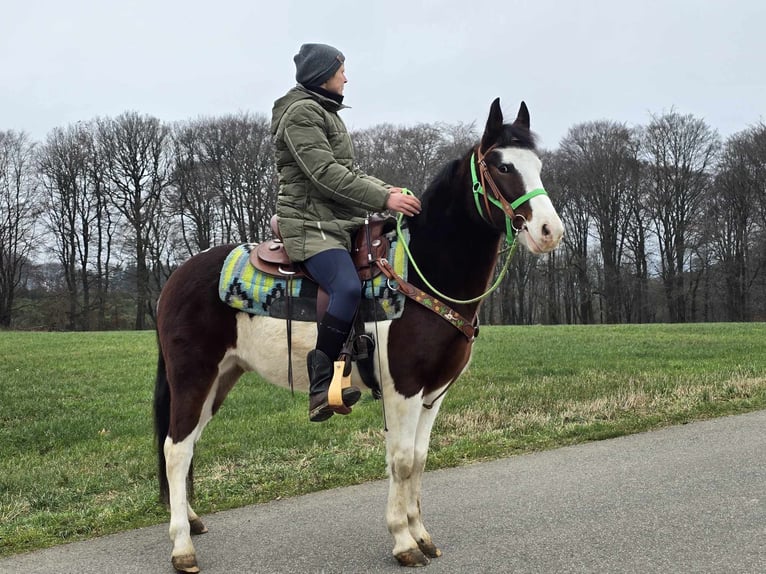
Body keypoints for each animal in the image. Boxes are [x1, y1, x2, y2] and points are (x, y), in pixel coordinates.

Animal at [154, 97, 564, 572]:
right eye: (502, 165)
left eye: (539, 165)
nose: (550, 232)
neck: (421, 274)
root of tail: (177, 276)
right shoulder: (403, 389)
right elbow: (401, 462)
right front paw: (403, 541)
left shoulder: (433, 393)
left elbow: (419, 460)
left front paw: (422, 535)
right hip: (193, 376)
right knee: (176, 449)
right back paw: (182, 546)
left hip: (220, 378)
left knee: (187, 445)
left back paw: (192, 520)